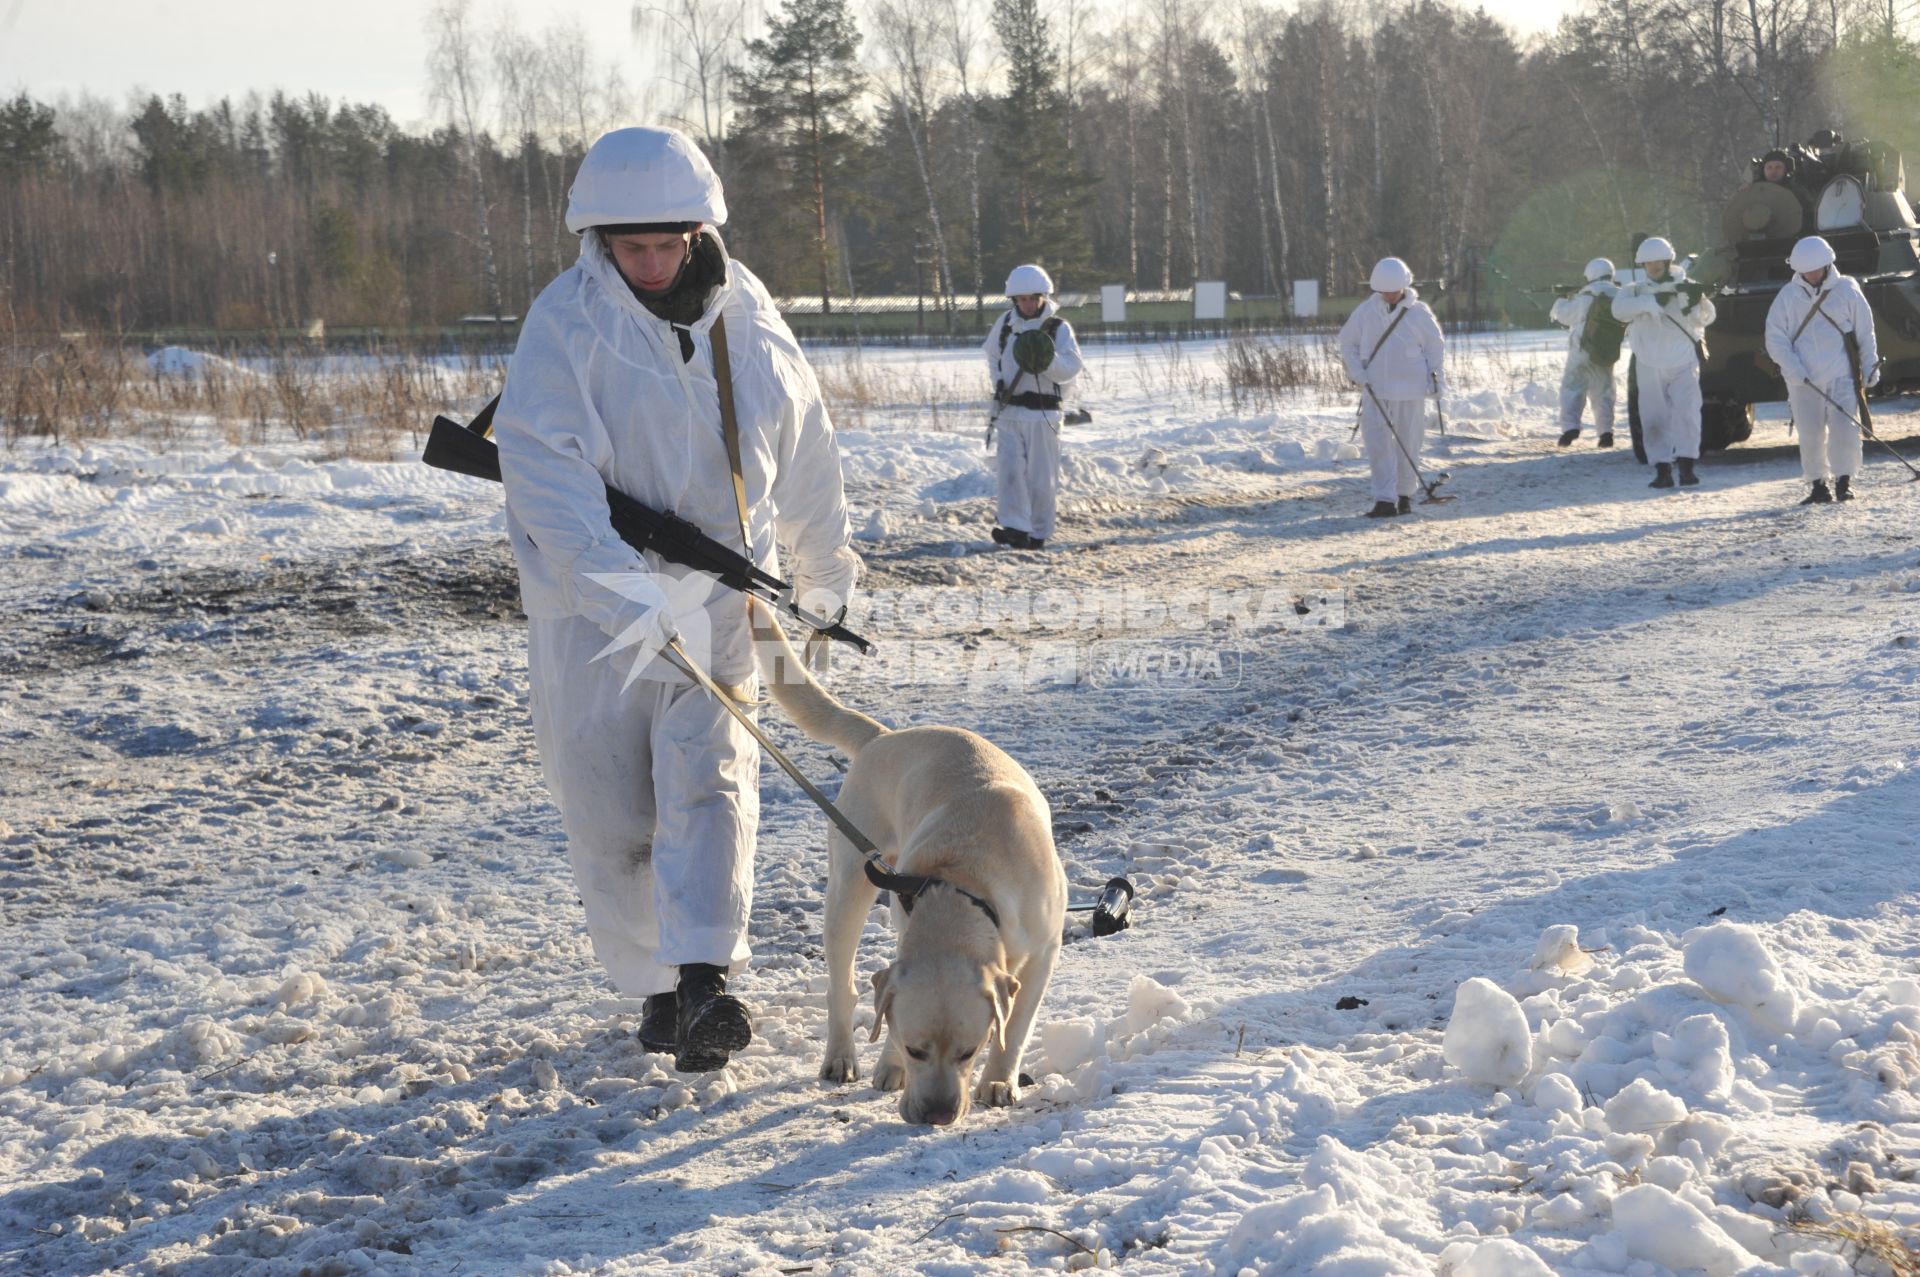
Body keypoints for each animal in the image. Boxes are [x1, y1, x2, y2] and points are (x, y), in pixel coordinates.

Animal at [756, 602, 1075, 1121]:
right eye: (915, 1049)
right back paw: (841, 1055)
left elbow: (1016, 1025)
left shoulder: (1045, 949)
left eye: (969, 1051)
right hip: (849, 886)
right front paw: (890, 1066)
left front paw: (998, 1081)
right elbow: (889, 1008)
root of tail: (883, 737)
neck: (967, 885)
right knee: (842, 985)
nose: (937, 1115)